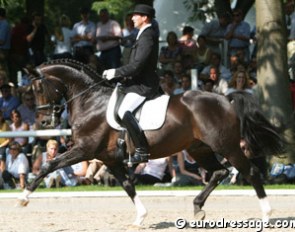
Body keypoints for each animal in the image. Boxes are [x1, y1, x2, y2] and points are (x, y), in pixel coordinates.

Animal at [17, 59, 284, 226]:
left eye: (38, 87)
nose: (43, 122)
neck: (90, 101)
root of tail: (225, 99)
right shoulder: (109, 158)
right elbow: (128, 185)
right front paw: (140, 218)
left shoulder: (84, 150)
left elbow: (48, 165)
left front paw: (24, 198)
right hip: (199, 149)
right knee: (219, 172)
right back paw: (198, 208)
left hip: (226, 146)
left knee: (250, 172)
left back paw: (267, 215)